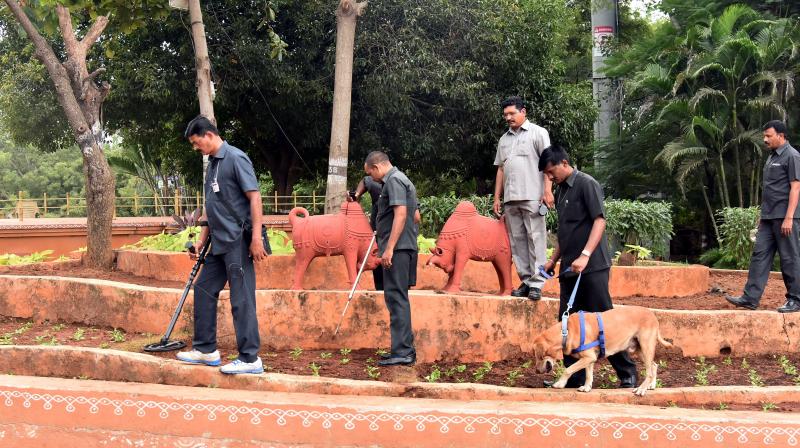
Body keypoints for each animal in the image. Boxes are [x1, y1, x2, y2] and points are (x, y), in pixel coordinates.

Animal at [536, 304, 672, 396]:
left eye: (539, 356)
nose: (537, 371)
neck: (566, 331)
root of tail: (652, 315)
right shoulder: (589, 358)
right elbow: (588, 375)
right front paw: (586, 387)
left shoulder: (589, 357)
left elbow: (568, 370)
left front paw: (560, 383)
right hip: (639, 349)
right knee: (654, 365)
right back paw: (651, 385)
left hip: (645, 346)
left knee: (649, 372)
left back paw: (641, 389)